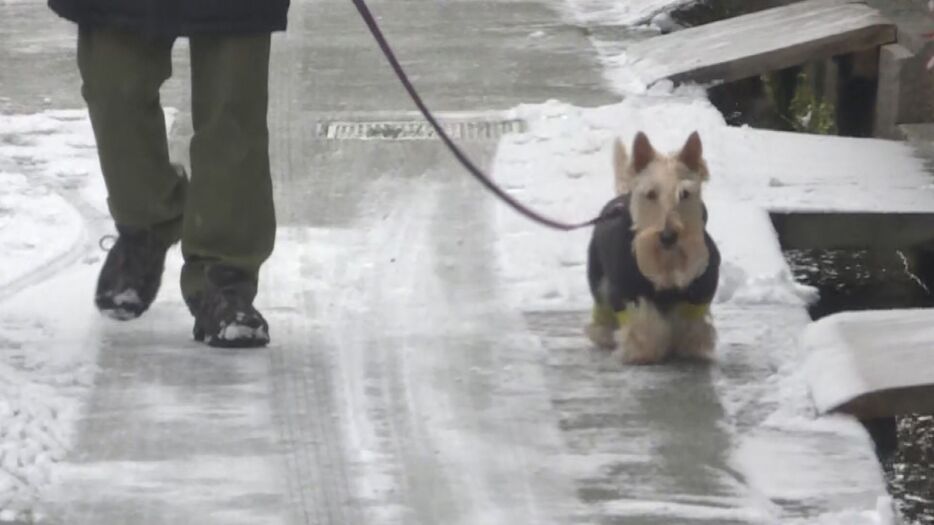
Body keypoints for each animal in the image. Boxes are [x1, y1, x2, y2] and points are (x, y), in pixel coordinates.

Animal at [584, 131, 724, 364]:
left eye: (685, 194)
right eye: (650, 194)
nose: (668, 237)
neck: (667, 265)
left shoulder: (700, 292)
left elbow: (691, 324)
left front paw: (689, 345)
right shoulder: (626, 291)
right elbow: (645, 328)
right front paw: (643, 350)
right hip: (598, 277)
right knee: (601, 305)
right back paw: (603, 334)